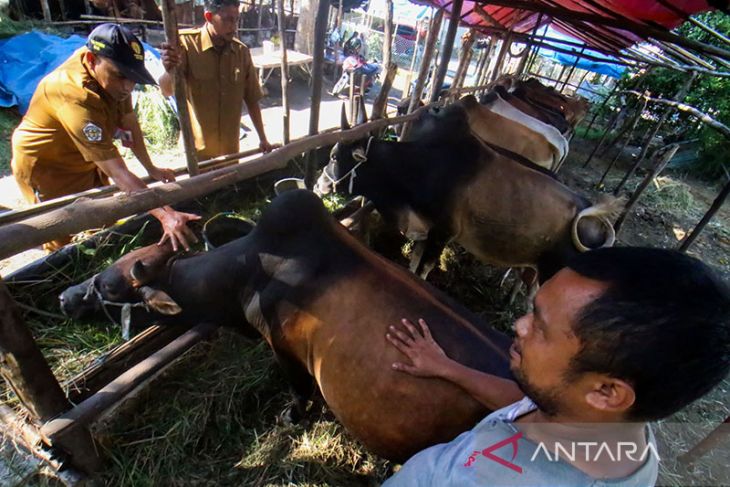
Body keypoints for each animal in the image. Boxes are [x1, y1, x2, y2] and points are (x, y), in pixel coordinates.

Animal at [58, 189, 512, 464]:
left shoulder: (284, 349)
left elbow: (299, 389)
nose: (65, 298)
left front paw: (292, 416)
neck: (244, 274)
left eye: (106, 286)